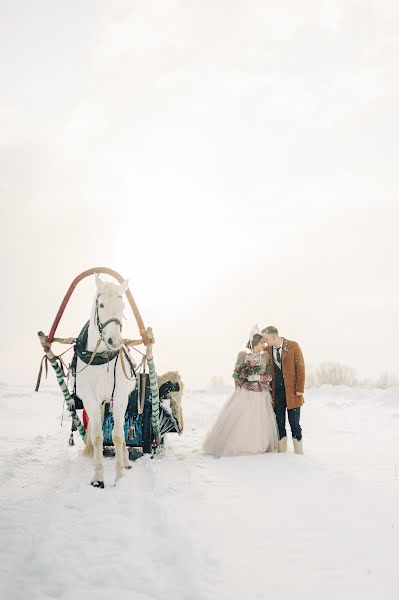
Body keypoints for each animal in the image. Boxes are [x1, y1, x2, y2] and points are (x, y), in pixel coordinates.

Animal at [76, 276, 138, 488]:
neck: (101, 356)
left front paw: (119, 476)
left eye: (122, 305)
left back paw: (126, 460)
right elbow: (97, 436)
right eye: (101, 305)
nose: (114, 341)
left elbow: (118, 436)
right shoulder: (90, 400)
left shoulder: (119, 398)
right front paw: (98, 478)